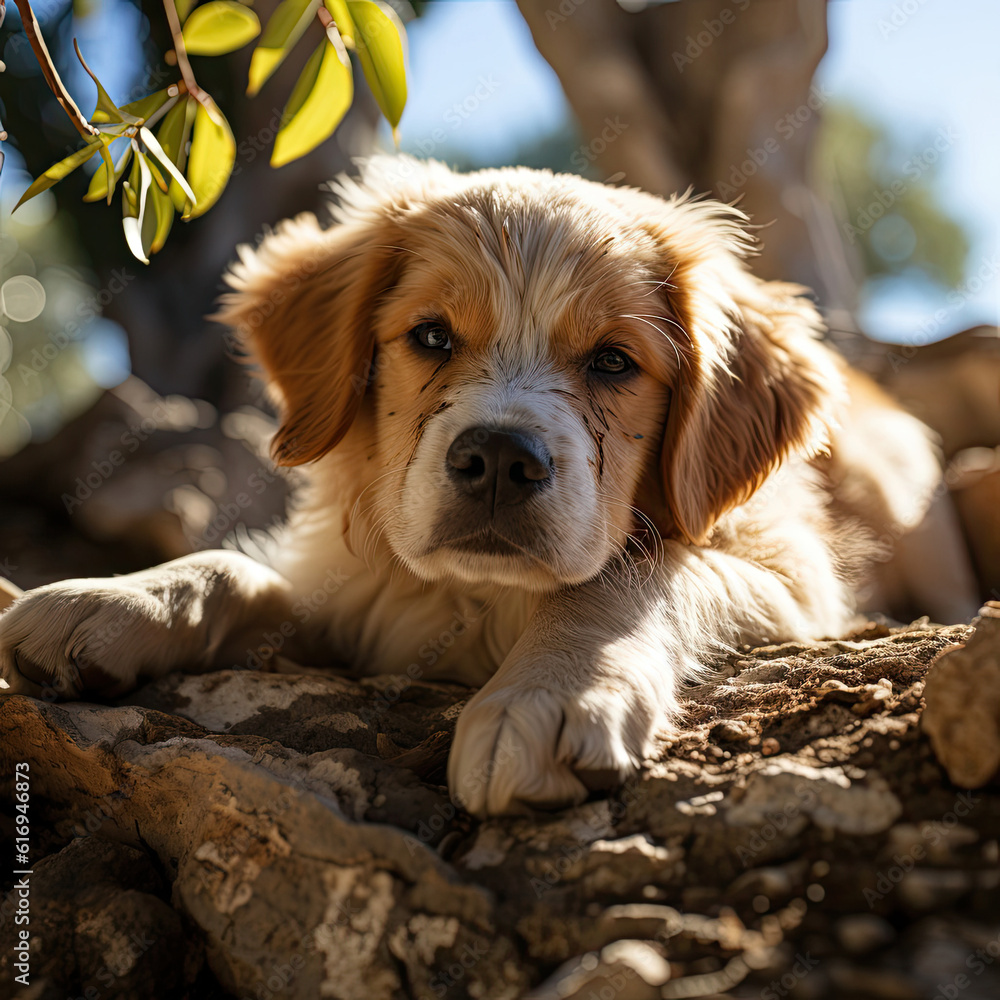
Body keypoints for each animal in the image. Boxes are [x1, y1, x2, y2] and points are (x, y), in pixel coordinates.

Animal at [0, 154, 972, 812]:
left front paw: (549, 696)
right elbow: (250, 569)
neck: (476, 595)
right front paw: (114, 599)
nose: (500, 459)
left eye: (614, 362)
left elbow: (629, 575)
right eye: (430, 336)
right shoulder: (363, 586)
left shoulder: (793, 577)